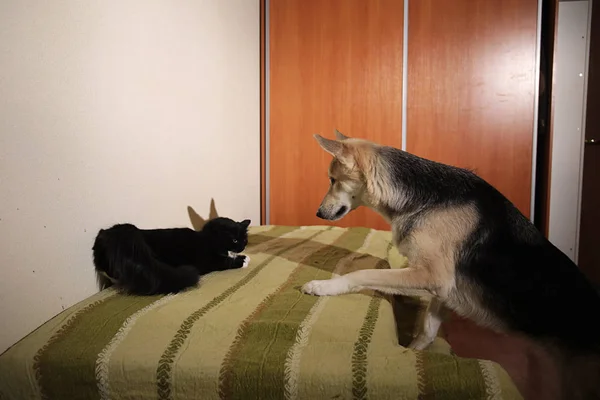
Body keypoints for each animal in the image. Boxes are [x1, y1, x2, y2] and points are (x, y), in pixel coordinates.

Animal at [92, 219, 252, 294]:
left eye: (244, 240)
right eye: (235, 240)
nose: (242, 247)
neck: (208, 239)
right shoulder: (211, 260)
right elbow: (226, 261)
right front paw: (243, 259)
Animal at [302, 130, 600, 396]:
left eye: (332, 180)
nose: (317, 213)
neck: (424, 198)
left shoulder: (430, 275)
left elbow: (362, 273)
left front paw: (324, 286)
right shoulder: (443, 289)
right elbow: (427, 329)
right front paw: (414, 353)